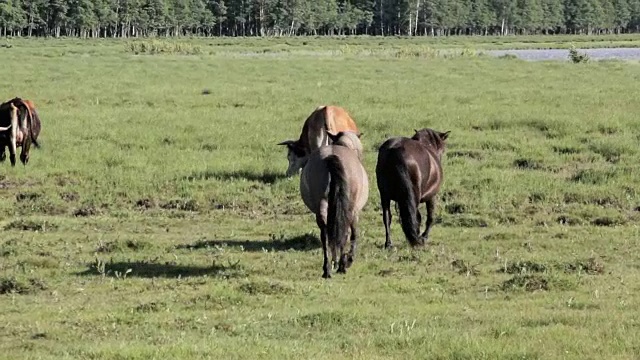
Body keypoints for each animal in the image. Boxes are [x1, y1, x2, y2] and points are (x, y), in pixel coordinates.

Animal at [302, 130, 370, 278]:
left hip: (322, 205)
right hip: (351, 210)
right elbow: (350, 234)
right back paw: (343, 264)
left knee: (325, 233)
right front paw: (344, 261)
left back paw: (327, 268)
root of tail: (332, 156)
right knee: (348, 233)